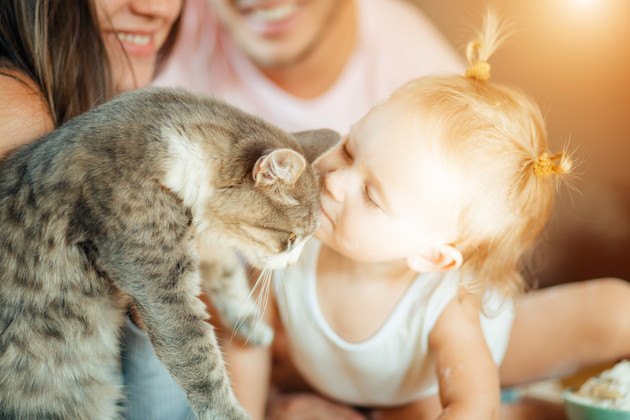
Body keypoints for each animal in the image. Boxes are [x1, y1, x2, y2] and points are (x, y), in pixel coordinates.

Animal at [0, 87, 340, 418]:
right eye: (291, 239)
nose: (293, 263)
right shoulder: (163, 284)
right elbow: (197, 356)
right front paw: (229, 412)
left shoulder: (202, 239)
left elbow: (227, 273)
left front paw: (250, 323)